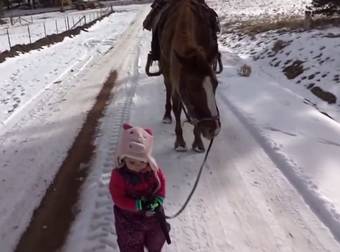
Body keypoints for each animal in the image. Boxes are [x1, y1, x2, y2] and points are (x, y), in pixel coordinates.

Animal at [157, 0, 220, 152]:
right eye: (190, 89)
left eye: (216, 84)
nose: (212, 130)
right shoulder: (174, 76)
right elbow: (177, 107)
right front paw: (180, 142)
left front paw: (197, 142)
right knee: (168, 90)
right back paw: (167, 116)